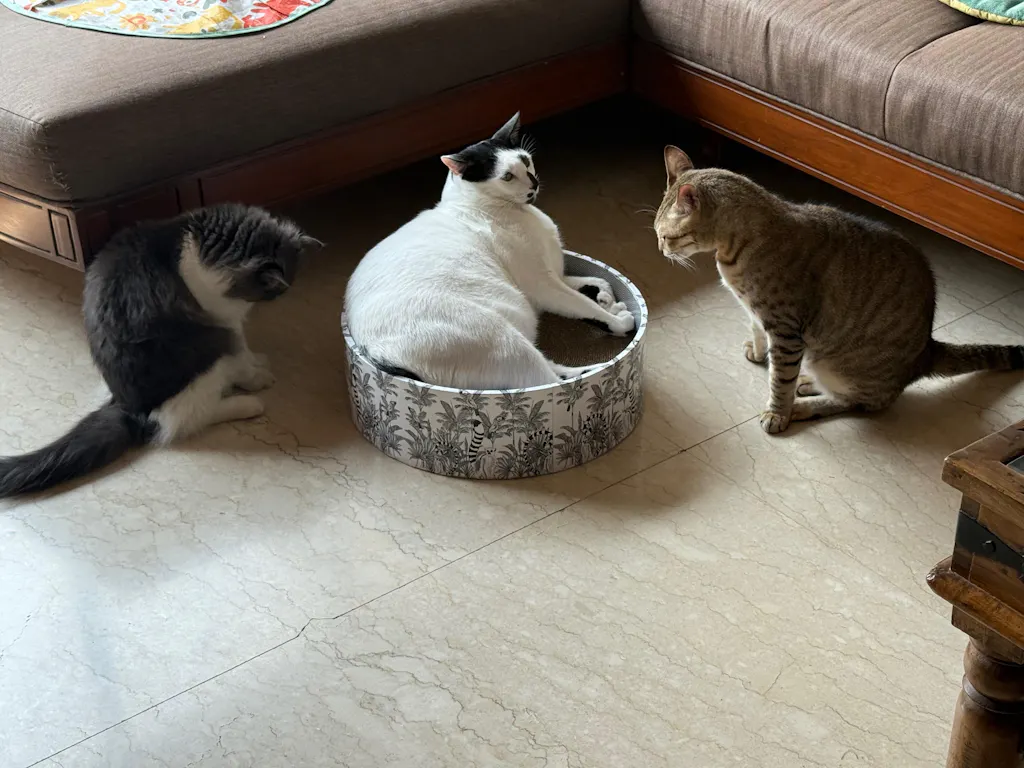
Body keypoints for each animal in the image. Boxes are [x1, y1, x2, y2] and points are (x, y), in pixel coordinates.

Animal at [0, 203, 319, 498]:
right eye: (275, 290)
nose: (281, 294)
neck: (204, 244)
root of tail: (129, 408)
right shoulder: (226, 322)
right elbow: (241, 354)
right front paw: (257, 377)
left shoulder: (232, 320)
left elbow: (247, 352)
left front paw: (258, 362)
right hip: (209, 354)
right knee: (183, 420)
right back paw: (248, 404)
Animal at [344, 112, 635, 390]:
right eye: (507, 176)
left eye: (526, 162)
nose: (533, 183)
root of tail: (375, 353)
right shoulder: (543, 285)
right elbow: (583, 304)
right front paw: (615, 318)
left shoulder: (554, 276)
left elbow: (597, 281)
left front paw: (607, 300)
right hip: (503, 339)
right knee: (548, 381)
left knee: (553, 371)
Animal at [654, 146, 1024, 435]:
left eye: (665, 236)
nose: (659, 249)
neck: (733, 251)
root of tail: (926, 351)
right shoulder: (757, 314)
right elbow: (757, 334)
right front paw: (758, 353)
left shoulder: (786, 331)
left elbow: (779, 381)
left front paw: (778, 413)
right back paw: (806, 383)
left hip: (840, 366)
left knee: (859, 402)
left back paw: (803, 403)